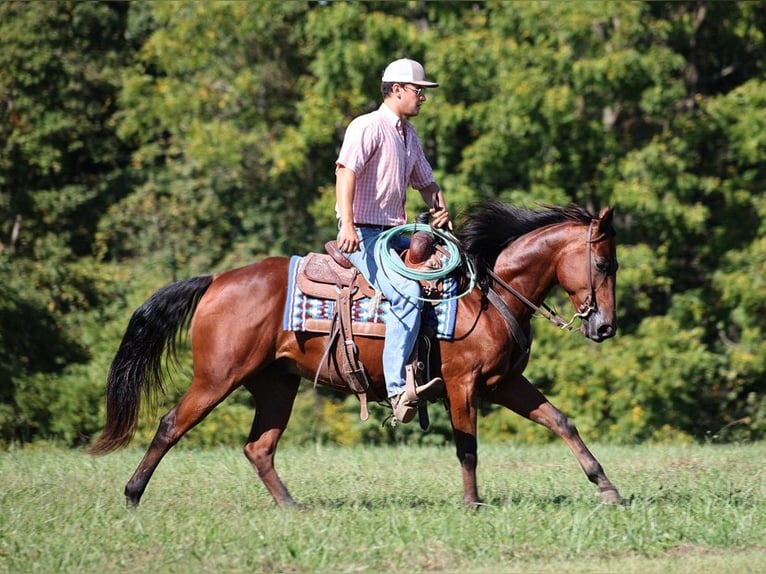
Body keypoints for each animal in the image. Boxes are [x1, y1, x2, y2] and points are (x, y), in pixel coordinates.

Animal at [88, 201, 624, 508]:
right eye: (603, 263)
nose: (604, 326)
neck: (488, 298)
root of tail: (217, 280)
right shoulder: (463, 385)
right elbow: (467, 447)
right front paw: (473, 503)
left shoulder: (505, 384)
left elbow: (561, 422)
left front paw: (607, 488)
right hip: (217, 379)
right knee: (169, 425)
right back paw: (132, 496)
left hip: (276, 385)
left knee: (259, 447)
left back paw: (293, 508)